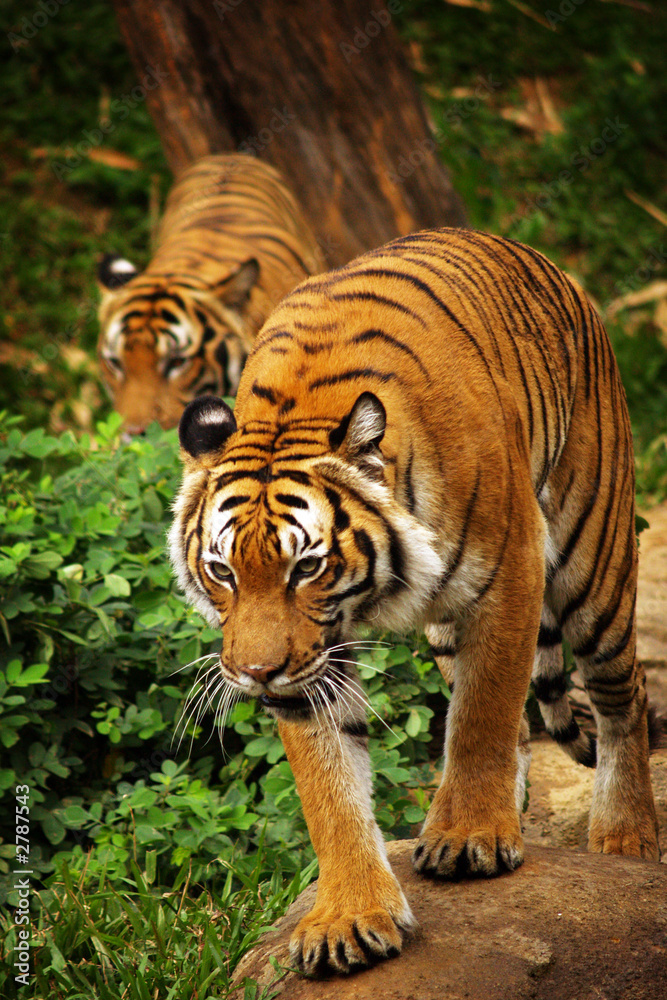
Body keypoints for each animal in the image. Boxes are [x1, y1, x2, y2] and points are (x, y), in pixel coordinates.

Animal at [168, 228, 661, 976]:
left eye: (306, 567)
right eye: (222, 571)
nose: (255, 676)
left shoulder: (510, 572)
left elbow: (483, 716)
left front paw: (468, 836)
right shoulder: (312, 662)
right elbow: (330, 788)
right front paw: (348, 917)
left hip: (591, 549)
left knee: (620, 693)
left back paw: (625, 837)